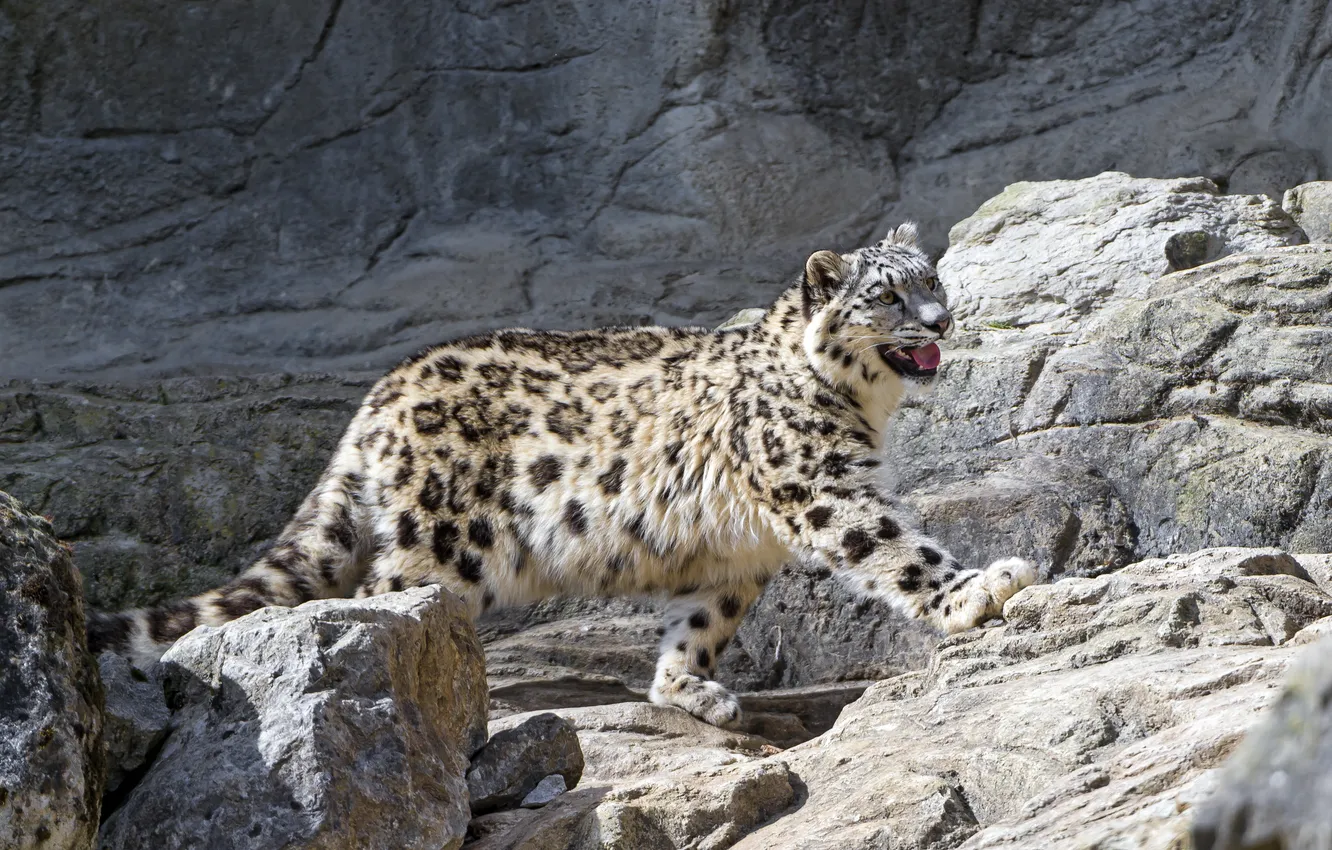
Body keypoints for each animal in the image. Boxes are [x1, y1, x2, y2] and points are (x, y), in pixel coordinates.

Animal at [88, 223, 1036, 726]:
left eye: (932, 277)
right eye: (887, 295)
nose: (940, 319)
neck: (867, 407)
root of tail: (380, 397)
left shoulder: (743, 551)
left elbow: (699, 624)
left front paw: (692, 688)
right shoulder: (823, 485)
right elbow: (896, 547)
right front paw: (981, 590)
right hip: (441, 546)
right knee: (393, 609)